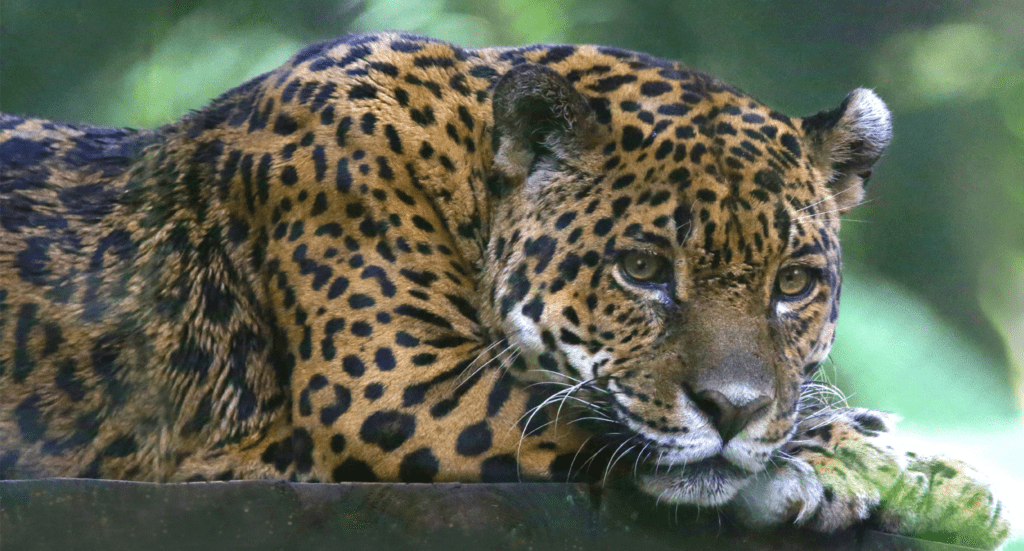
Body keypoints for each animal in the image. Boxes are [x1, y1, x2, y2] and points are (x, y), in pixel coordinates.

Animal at [0, 32, 1009, 548]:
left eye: (794, 284)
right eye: (642, 270)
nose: (732, 407)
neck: (464, 174)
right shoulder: (394, 388)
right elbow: (568, 412)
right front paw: (898, 468)